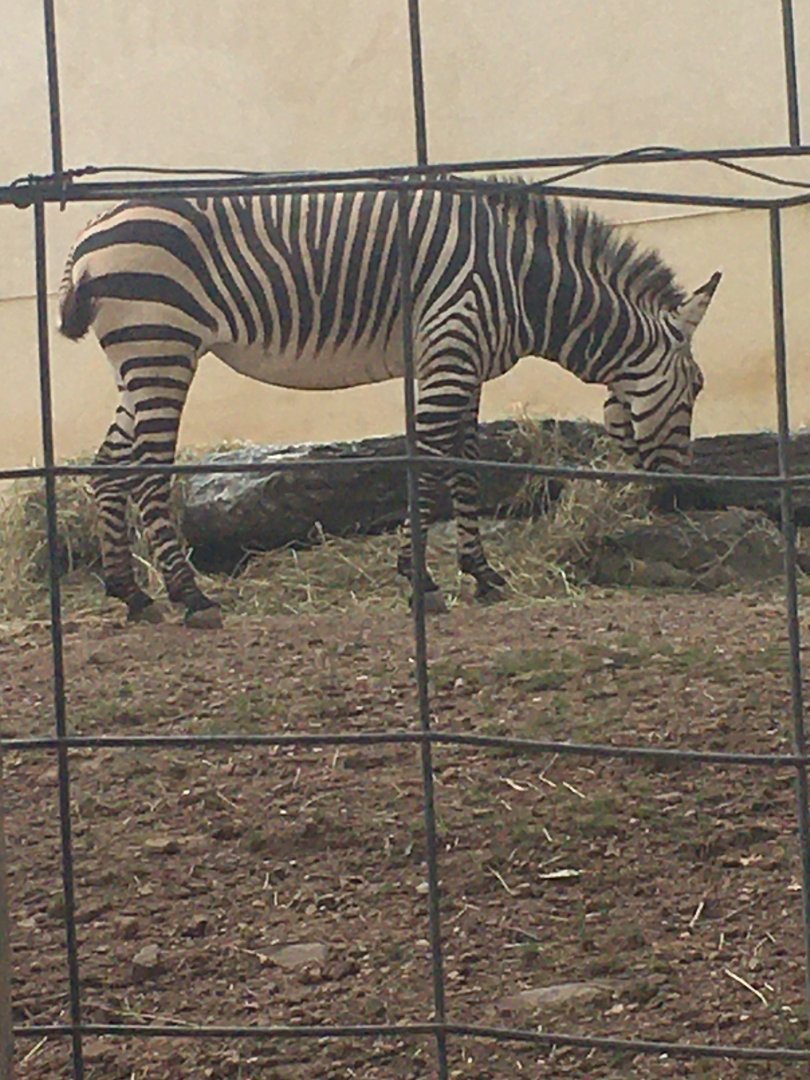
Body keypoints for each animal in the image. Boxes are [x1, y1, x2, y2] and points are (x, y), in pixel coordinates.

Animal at [58, 185, 720, 626]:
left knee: (107, 466)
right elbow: (428, 464)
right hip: (160, 344)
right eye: (697, 387)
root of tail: (92, 230)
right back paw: (189, 596)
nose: (681, 492)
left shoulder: (464, 364)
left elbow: (465, 467)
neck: (526, 286)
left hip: (139, 357)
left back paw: (132, 594)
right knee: (146, 470)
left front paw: (481, 574)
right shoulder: (450, 348)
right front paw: (420, 580)